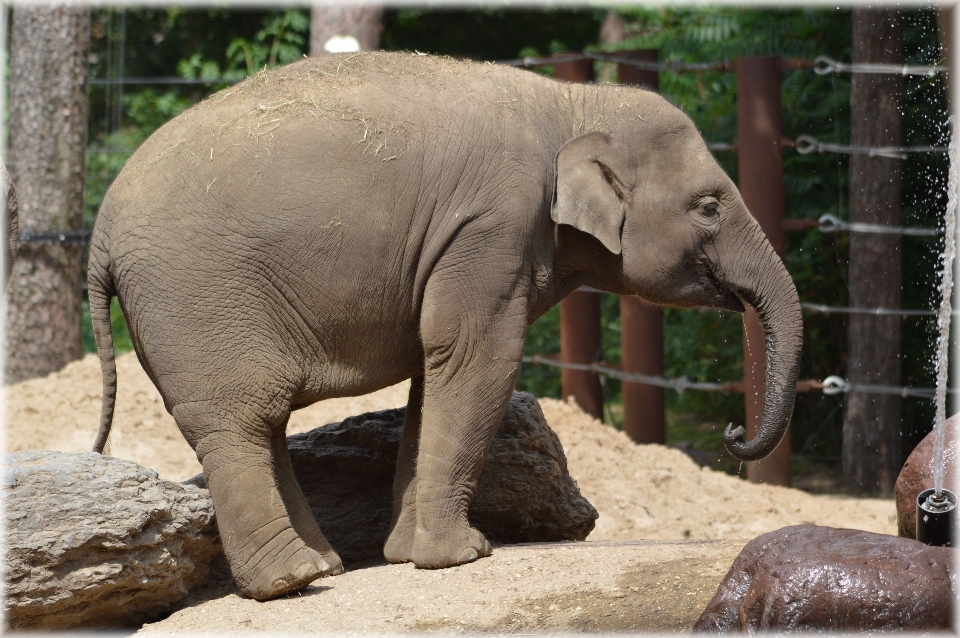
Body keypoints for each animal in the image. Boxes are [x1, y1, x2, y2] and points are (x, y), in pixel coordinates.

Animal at [88, 52, 804, 604]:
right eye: (709, 206)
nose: (733, 433)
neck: (574, 104)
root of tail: (100, 232)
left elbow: (435, 372)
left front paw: (409, 553)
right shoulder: (495, 226)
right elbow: (477, 355)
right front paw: (462, 555)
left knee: (260, 424)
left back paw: (324, 565)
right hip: (196, 296)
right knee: (238, 419)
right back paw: (291, 582)